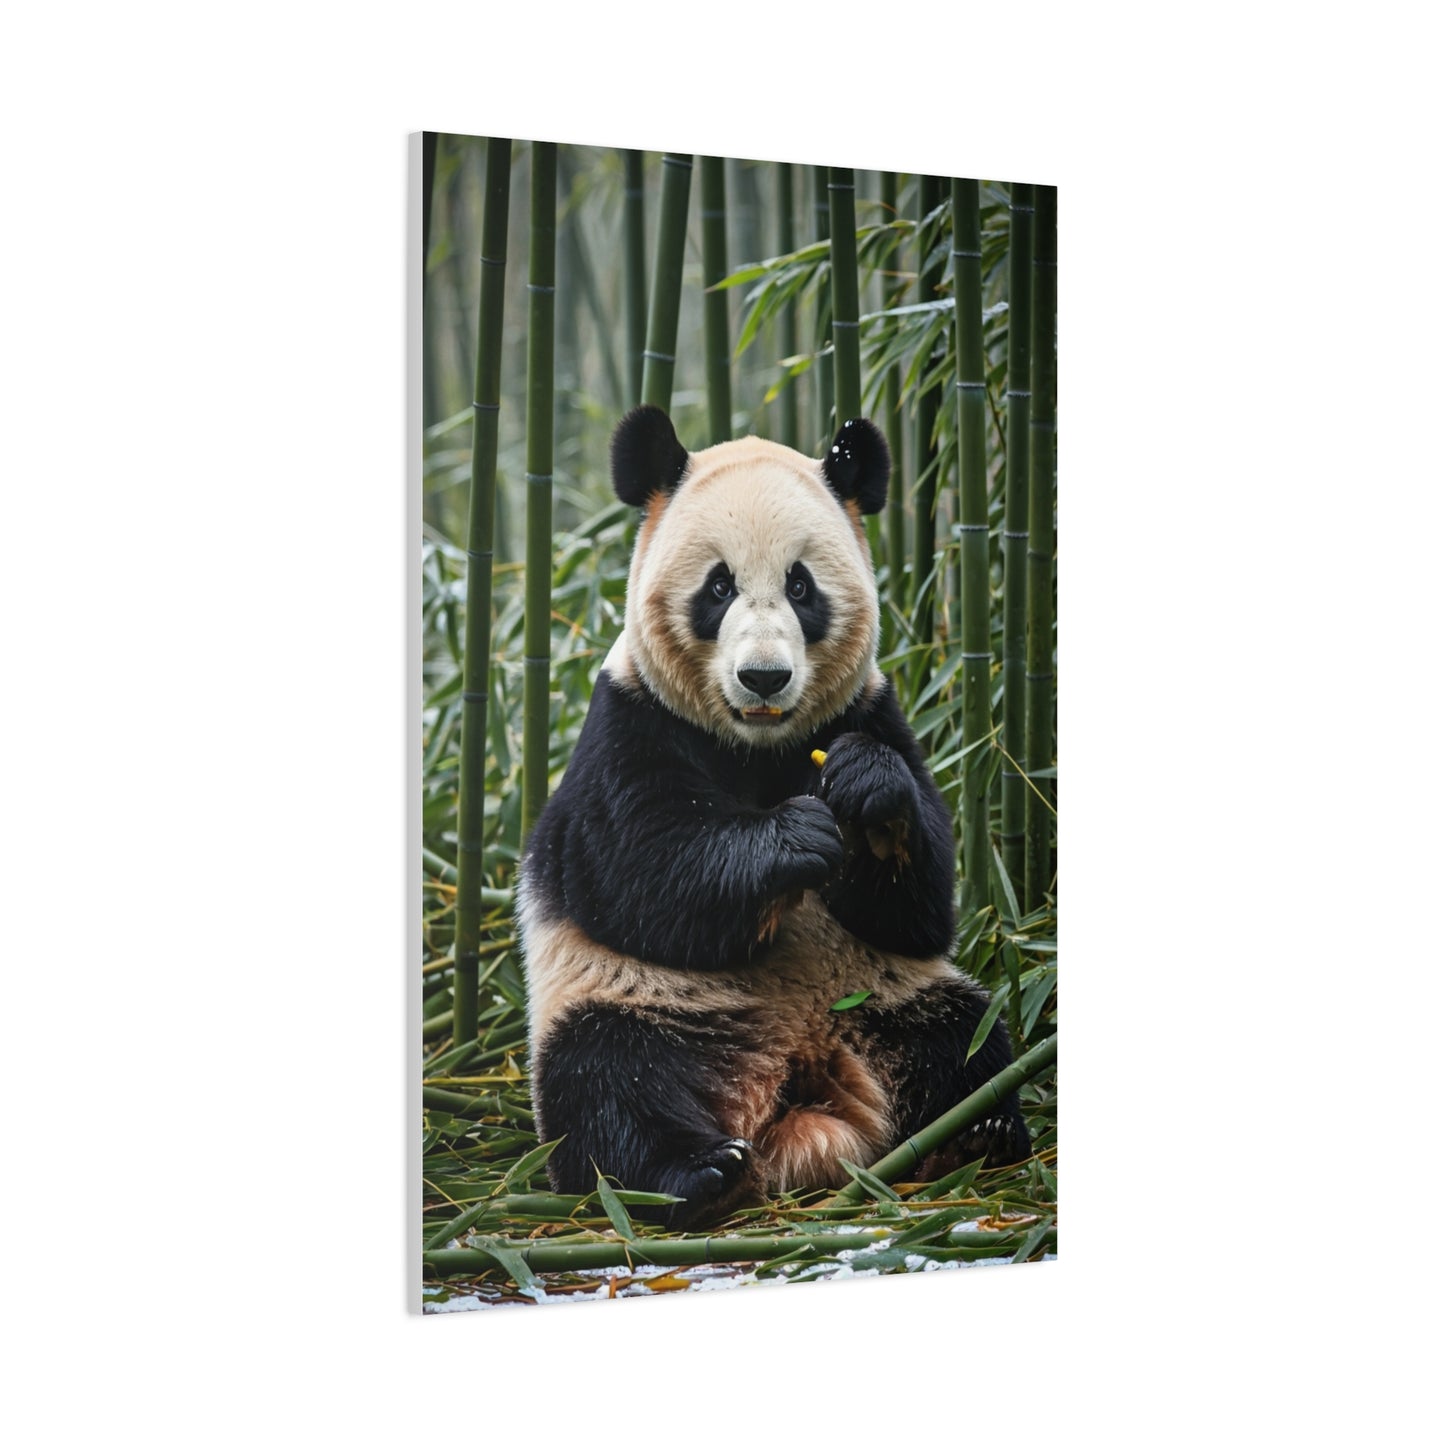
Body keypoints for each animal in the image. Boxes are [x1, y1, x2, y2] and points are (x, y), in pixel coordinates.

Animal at [517, 404, 1029, 1227]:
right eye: (718, 586)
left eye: (801, 585)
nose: (763, 677)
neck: (755, 746)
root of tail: (802, 1080)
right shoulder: (627, 723)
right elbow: (641, 873)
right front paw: (798, 836)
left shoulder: (871, 709)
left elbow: (921, 907)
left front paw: (863, 791)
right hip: (648, 1005)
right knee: (605, 1081)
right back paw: (698, 1172)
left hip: (889, 998)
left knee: (965, 1036)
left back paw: (974, 1130)